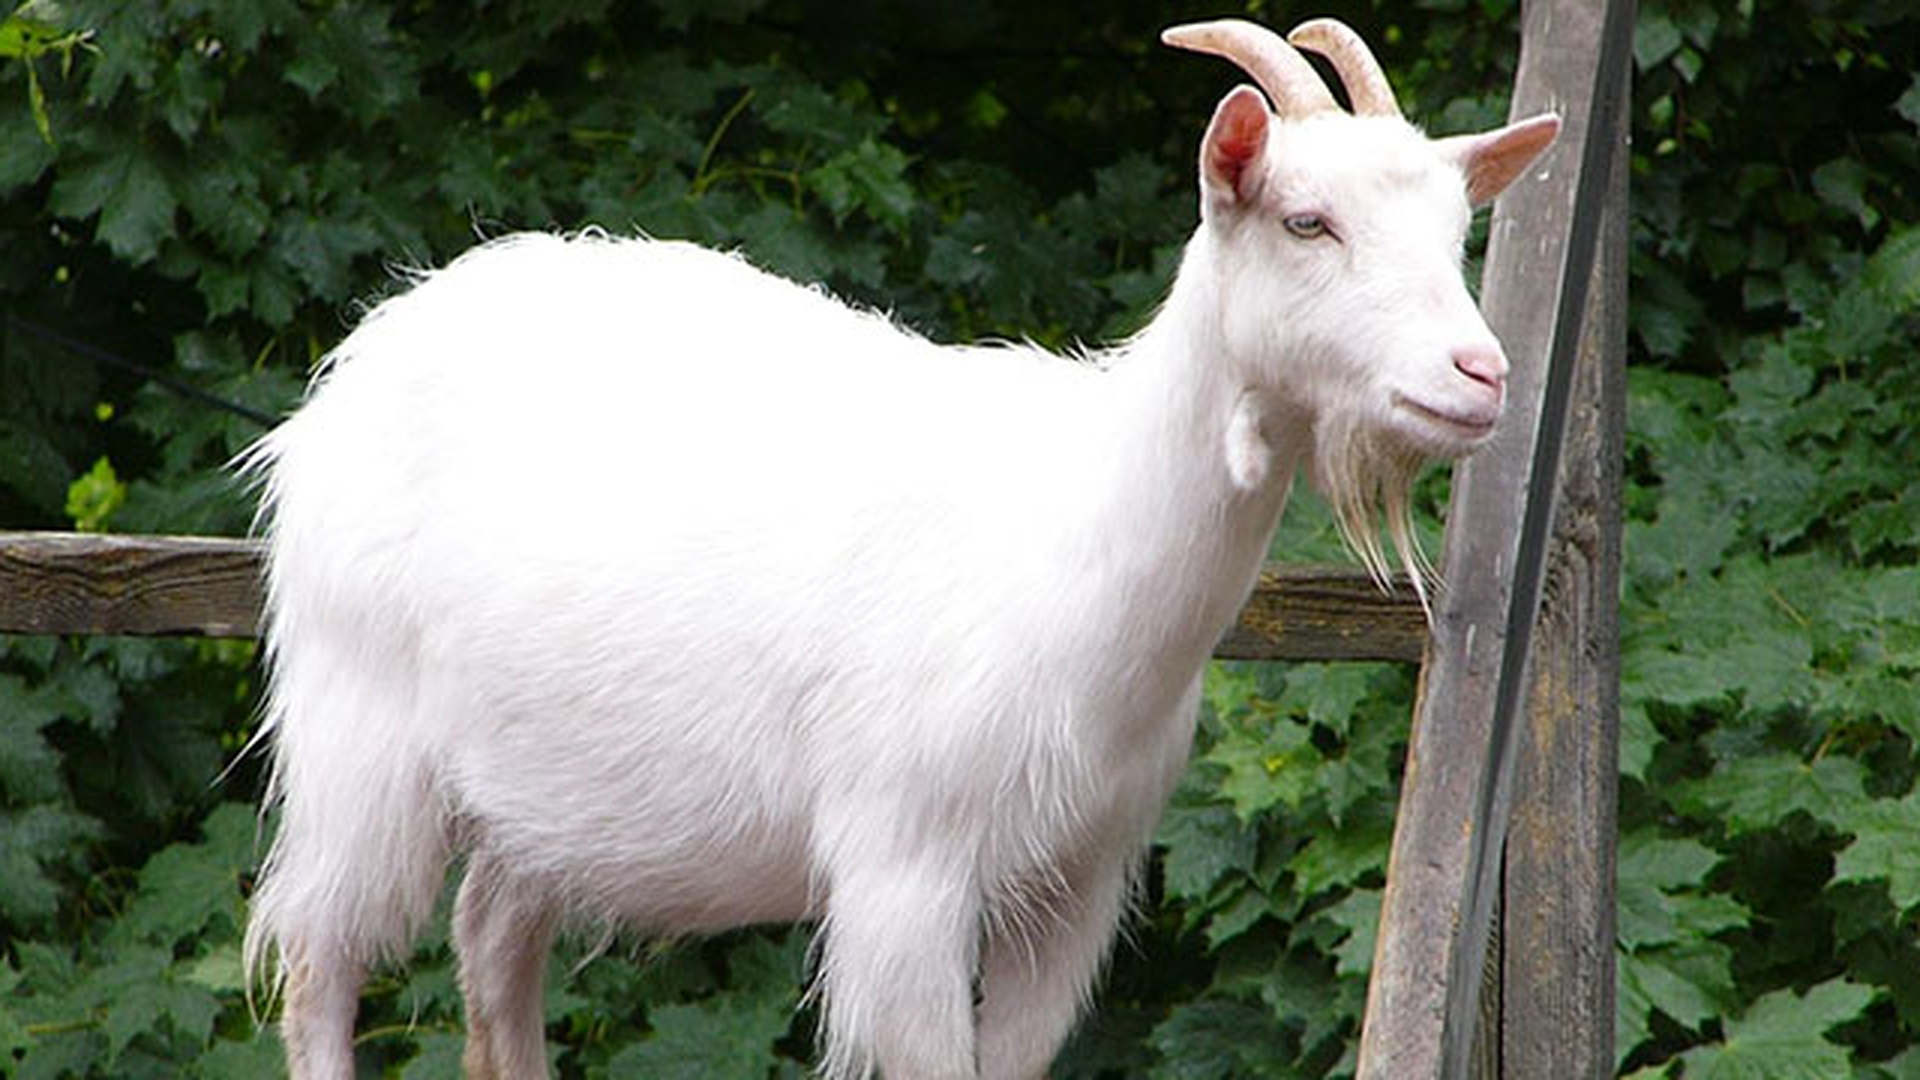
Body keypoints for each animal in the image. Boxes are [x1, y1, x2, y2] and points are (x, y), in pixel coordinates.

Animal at [239, 17, 1557, 1080]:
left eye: (1458, 229)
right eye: (1305, 219)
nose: (1481, 375)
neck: (1078, 535)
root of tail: (365, 355)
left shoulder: (1074, 885)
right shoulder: (905, 871)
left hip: (542, 799)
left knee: (491, 953)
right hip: (359, 738)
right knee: (318, 961)